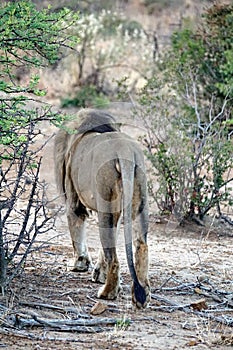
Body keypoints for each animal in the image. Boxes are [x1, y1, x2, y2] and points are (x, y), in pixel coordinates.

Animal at [54, 109, 150, 308]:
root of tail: (125, 149)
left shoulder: (74, 203)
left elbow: (77, 234)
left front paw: (79, 264)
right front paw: (98, 273)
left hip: (106, 204)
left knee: (114, 259)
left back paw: (107, 293)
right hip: (139, 203)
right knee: (141, 246)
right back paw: (141, 297)